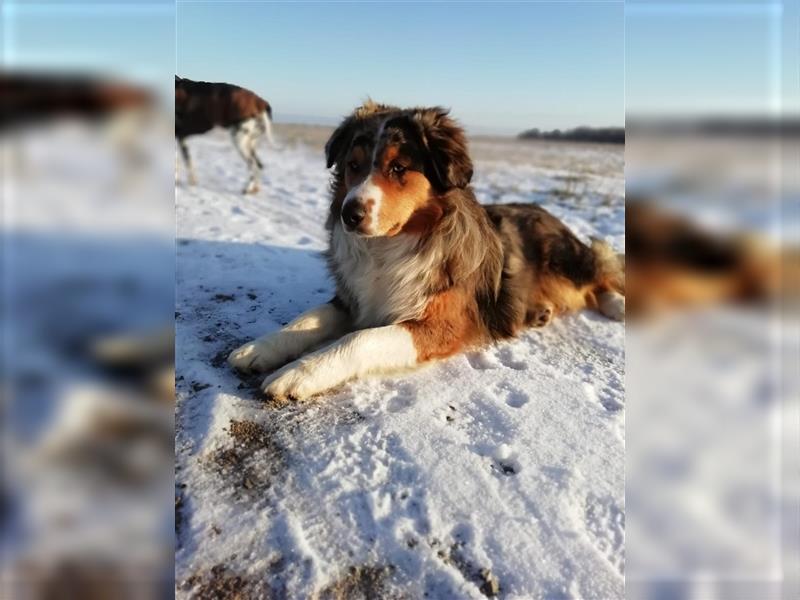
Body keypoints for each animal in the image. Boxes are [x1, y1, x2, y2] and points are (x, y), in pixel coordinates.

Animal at [227, 102, 624, 400]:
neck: (387, 248)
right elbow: (306, 319)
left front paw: (299, 373)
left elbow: (360, 338)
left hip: (565, 258)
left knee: (602, 271)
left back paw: (617, 305)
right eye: (353, 165)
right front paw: (261, 348)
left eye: (398, 167)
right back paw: (542, 311)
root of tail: (547, 212)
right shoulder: (353, 298)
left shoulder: (443, 323)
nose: (349, 214)